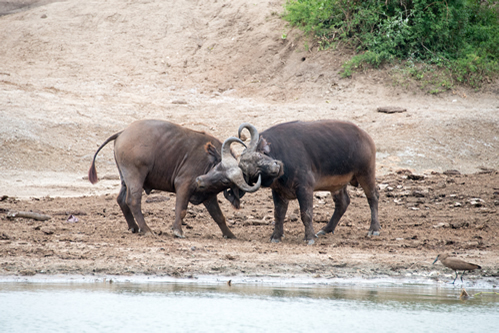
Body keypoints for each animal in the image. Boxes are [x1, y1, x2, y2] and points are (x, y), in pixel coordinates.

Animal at [89, 120, 262, 239]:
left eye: (226, 181)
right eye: (218, 166)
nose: (199, 181)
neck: (207, 161)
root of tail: (122, 132)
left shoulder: (209, 195)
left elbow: (219, 216)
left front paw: (230, 234)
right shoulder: (184, 185)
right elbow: (181, 209)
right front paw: (178, 231)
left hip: (125, 179)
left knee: (121, 199)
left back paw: (134, 227)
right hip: (135, 176)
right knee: (132, 200)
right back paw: (147, 230)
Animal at [237, 120, 378, 244]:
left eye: (260, 155)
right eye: (255, 173)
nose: (275, 167)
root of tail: (365, 136)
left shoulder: (305, 188)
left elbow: (306, 213)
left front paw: (309, 238)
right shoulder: (278, 192)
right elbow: (278, 214)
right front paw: (276, 237)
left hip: (366, 173)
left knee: (373, 197)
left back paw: (374, 229)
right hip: (338, 184)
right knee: (343, 202)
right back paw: (326, 229)